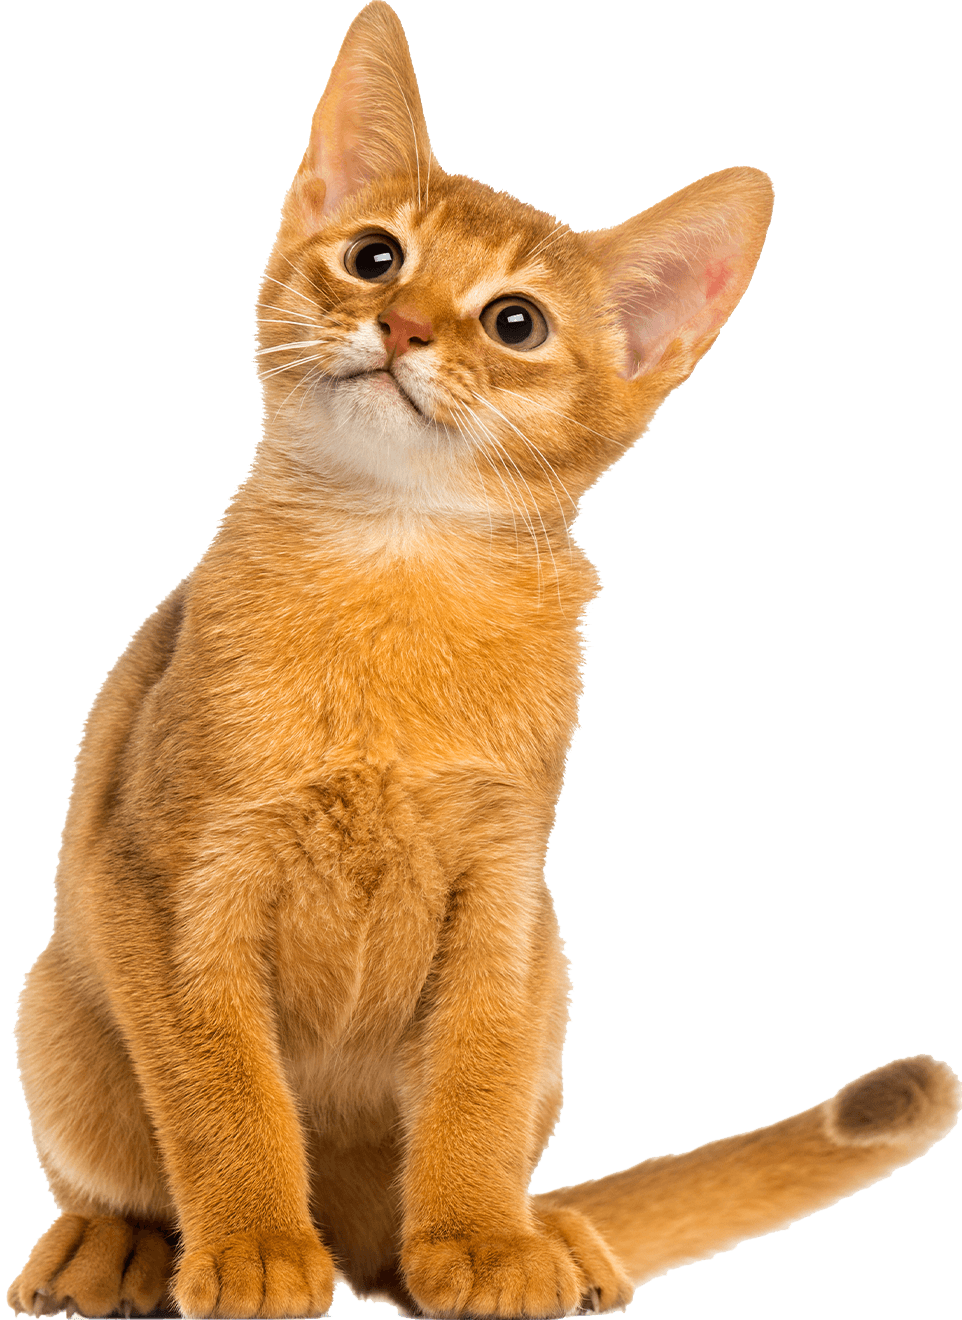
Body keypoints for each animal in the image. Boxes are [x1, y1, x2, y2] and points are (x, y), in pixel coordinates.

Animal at [7, 2, 960, 1320]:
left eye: (516, 323)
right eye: (374, 257)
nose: (402, 325)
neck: (395, 573)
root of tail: (363, 1237)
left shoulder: (501, 890)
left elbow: (474, 1081)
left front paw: (480, 1245)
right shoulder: (177, 876)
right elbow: (224, 1091)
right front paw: (252, 1247)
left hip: (550, 971)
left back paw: (543, 1237)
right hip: (53, 1005)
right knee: (119, 1172)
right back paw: (126, 1248)